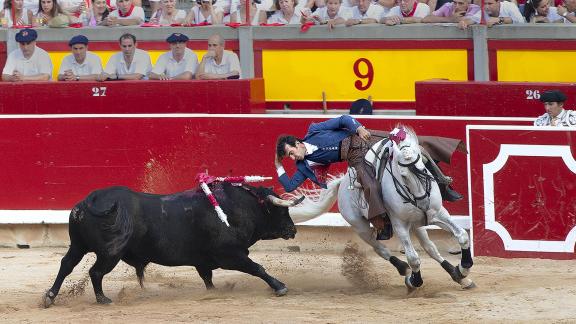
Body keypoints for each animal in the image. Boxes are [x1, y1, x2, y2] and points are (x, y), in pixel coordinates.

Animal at [44, 182, 302, 306]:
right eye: (280, 210)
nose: (293, 230)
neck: (235, 208)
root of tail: (91, 199)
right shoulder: (231, 255)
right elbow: (257, 267)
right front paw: (280, 287)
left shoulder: (203, 261)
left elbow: (208, 279)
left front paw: (213, 293)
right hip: (110, 253)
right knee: (96, 272)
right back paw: (102, 299)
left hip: (78, 245)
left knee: (66, 264)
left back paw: (50, 296)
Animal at [288, 126, 472, 292]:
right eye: (403, 174)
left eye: (423, 166)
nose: (423, 203)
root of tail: (342, 183)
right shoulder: (399, 224)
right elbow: (413, 258)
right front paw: (413, 281)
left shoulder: (438, 213)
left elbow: (462, 236)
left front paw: (463, 268)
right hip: (360, 226)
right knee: (381, 249)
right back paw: (404, 269)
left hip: (416, 224)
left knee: (430, 247)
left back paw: (458, 277)